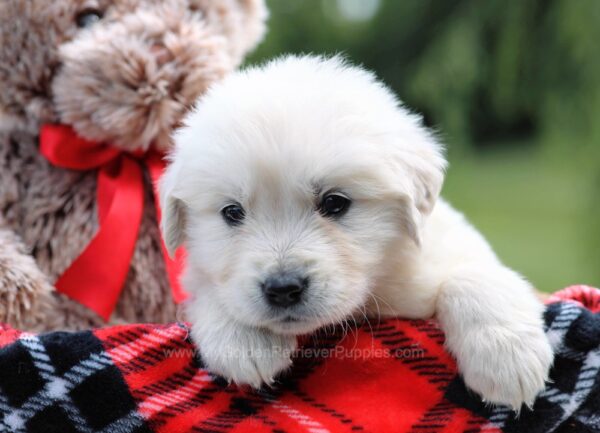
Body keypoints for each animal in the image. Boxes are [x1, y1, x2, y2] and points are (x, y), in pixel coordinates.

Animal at [159, 54, 552, 408]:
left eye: (335, 203)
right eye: (232, 212)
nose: (283, 289)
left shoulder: (453, 246)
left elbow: (475, 276)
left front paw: (507, 357)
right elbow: (209, 289)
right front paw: (244, 340)